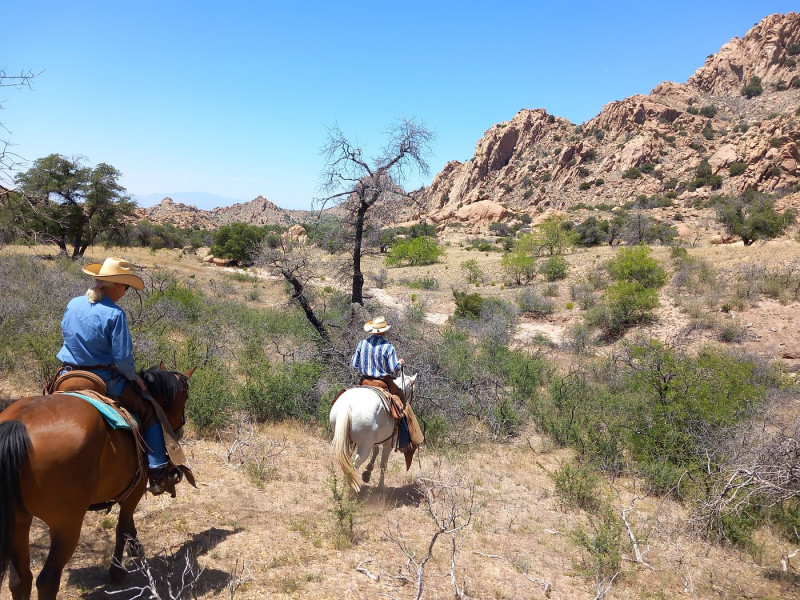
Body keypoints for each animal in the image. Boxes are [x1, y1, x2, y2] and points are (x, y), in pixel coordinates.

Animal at [0, 366, 193, 600]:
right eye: (185, 396)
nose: (180, 428)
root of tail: (18, 424)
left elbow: (128, 526)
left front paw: (136, 550)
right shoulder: (135, 490)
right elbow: (122, 527)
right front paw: (118, 571)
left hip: (19, 521)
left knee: (20, 580)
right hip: (66, 526)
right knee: (47, 581)